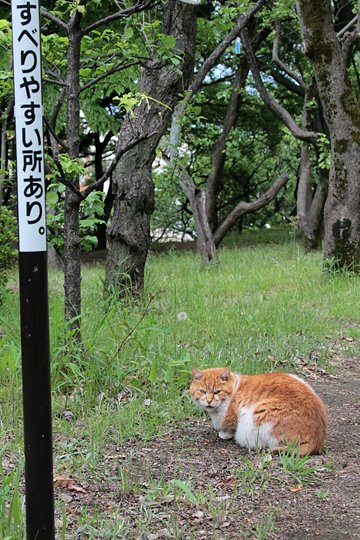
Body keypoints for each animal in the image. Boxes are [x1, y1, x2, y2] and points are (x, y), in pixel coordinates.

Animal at [190, 370, 328, 454]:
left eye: (217, 392)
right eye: (202, 391)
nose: (208, 401)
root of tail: (316, 441)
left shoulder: (232, 418)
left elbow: (228, 428)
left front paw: (224, 434)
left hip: (257, 416)